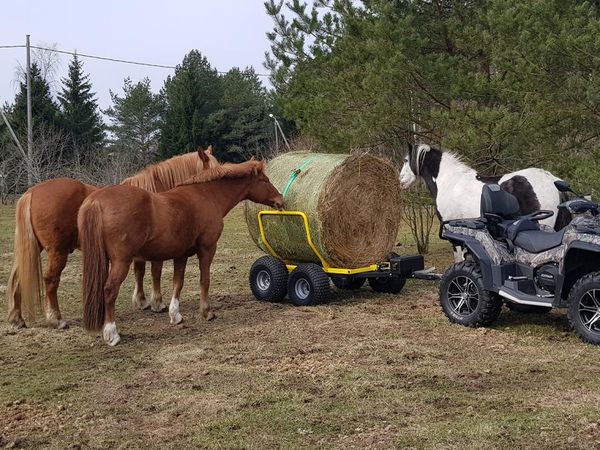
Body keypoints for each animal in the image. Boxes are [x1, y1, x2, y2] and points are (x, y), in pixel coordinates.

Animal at [6, 146, 218, 328]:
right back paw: (56, 319)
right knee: (50, 280)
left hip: (32, 248)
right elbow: (154, 272)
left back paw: (17, 318)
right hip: (58, 251)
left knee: (17, 277)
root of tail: (32, 192)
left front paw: (141, 301)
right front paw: (156, 303)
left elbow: (139, 272)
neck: (158, 197)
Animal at [78, 153, 282, 346]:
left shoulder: (181, 254)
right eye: (265, 180)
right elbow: (204, 280)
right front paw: (207, 312)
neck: (206, 196)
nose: (280, 200)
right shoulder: (207, 249)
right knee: (109, 290)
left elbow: (178, 282)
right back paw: (112, 333)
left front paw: (175, 315)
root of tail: (96, 201)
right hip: (121, 261)